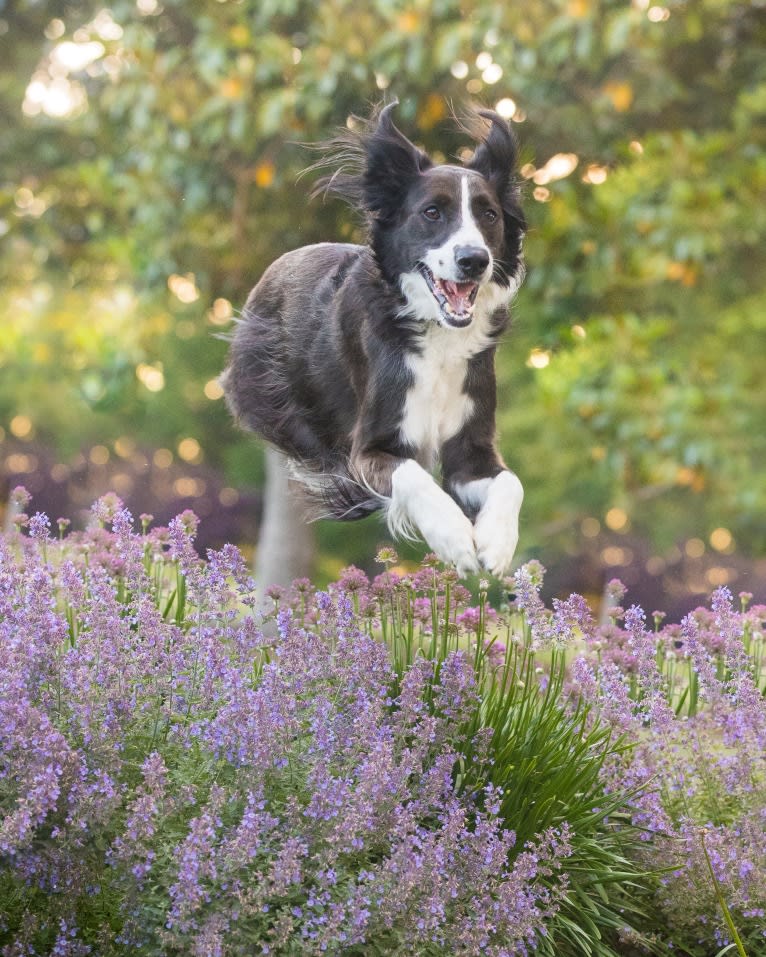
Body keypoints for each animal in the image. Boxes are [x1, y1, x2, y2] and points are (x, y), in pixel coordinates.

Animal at [224, 102, 528, 576]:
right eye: (432, 213)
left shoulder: (471, 451)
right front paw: (455, 538)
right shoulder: (368, 450)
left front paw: (497, 542)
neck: (437, 335)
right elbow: (412, 474)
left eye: (489, 215)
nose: (474, 259)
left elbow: (511, 481)